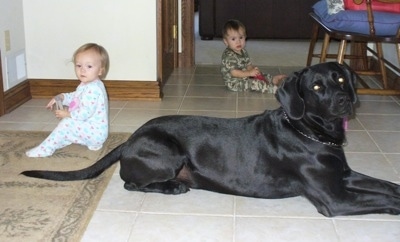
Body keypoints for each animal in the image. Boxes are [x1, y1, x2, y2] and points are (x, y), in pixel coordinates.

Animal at [22, 62, 400, 217]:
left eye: (341, 78)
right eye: (318, 87)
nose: (345, 100)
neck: (311, 132)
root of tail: (131, 138)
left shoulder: (344, 176)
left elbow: (386, 186)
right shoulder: (335, 198)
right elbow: (381, 200)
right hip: (169, 153)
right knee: (131, 183)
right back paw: (173, 187)